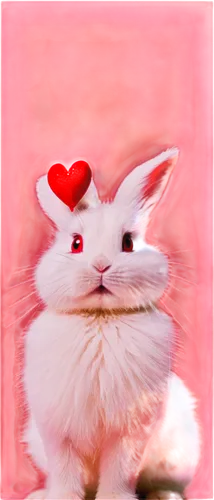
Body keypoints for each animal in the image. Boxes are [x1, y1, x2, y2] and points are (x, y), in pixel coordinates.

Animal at [22, 149, 201, 500]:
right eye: (76, 243)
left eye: (130, 242)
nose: (101, 265)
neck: (100, 318)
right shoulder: (57, 432)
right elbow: (64, 471)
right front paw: (61, 497)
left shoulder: (130, 434)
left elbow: (121, 469)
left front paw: (115, 498)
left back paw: (167, 496)